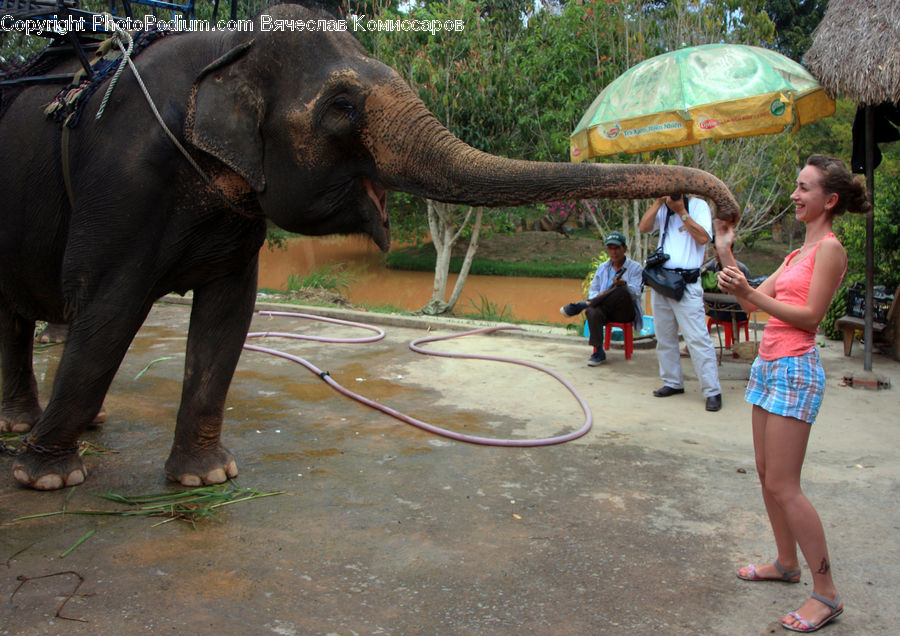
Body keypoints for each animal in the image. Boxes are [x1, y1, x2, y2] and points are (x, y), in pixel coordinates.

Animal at [0, 2, 739, 490]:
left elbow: (227, 318)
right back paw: (33, 438)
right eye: (341, 107)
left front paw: (207, 479)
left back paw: (44, 428)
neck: (223, 46)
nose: (726, 219)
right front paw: (47, 481)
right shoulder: (120, 186)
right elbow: (106, 313)